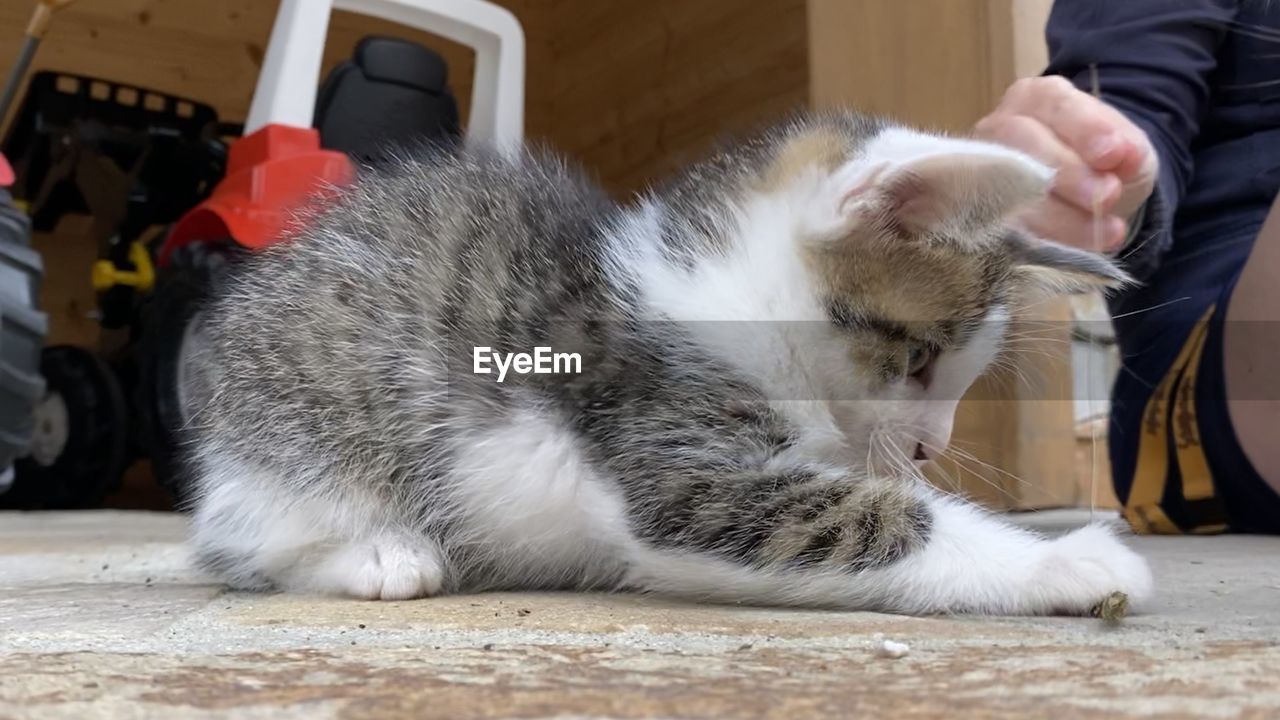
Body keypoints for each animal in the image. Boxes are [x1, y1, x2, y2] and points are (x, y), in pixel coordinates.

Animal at [185, 110, 1157, 609]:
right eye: (919, 359)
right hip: (301, 431)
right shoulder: (668, 453)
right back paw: (382, 554)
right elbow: (871, 519)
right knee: (245, 542)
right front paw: (1071, 562)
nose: (929, 446)